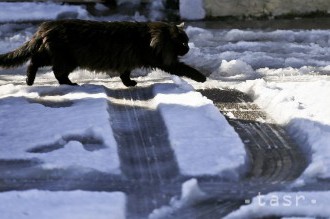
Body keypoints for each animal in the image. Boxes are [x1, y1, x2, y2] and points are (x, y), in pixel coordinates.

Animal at [0, 19, 206, 86]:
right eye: (182, 42)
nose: (188, 48)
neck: (152, 36)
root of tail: (46, 26)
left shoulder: (127, 61)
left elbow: (125, 74)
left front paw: (129, 84)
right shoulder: (164, 61)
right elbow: (186, 68)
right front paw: (202, 78)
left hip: (58, 56)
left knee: (42, 65)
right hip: (63, 58)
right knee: (42, 66)